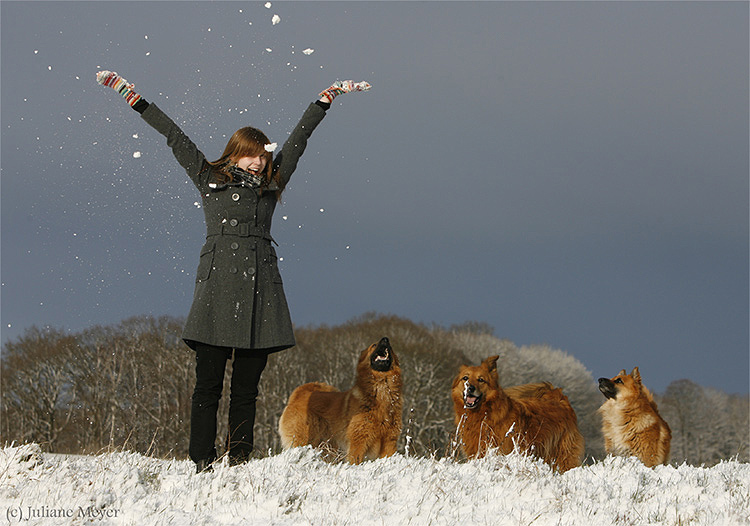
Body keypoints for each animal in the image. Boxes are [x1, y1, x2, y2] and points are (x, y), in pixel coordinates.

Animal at [278, 340, 406, 464]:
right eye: (374, 345)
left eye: (391, 346)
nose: (385, 339)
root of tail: (299, 394)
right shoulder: (359, 441)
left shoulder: (389, 441)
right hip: (303, 439)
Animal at [452, 356, 588, 472]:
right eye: (465, 378)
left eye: (481, 380)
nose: (470, 388)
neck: (484, 414)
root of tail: (559, 397)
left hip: (563, 455)